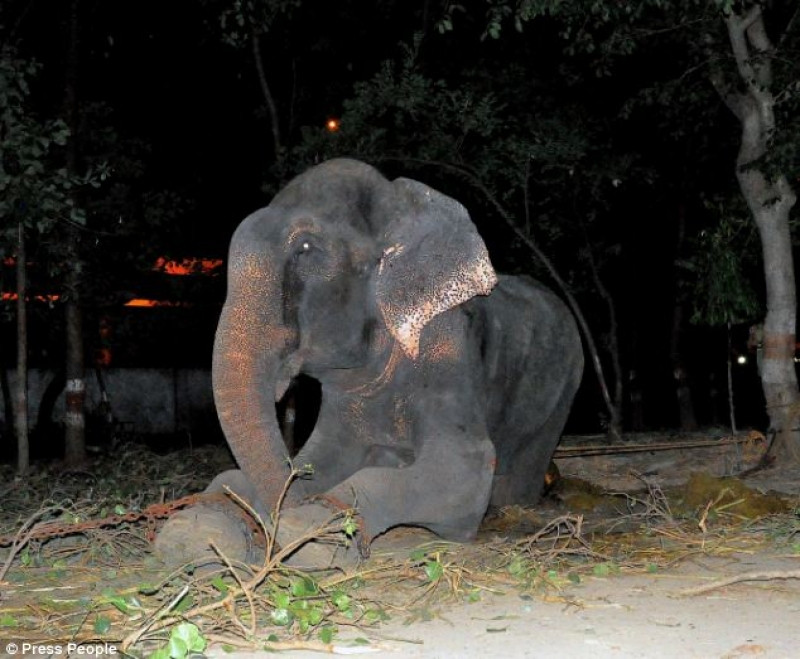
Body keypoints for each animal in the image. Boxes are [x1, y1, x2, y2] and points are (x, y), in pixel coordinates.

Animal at [155, 159, 580, 568]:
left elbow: (465, 468)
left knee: (518, 478)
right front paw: (195, 531)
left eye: (305, 247)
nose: (267, 532)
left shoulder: (447, 344)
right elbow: (318, 458)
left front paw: (311, 533)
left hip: (564, 390)